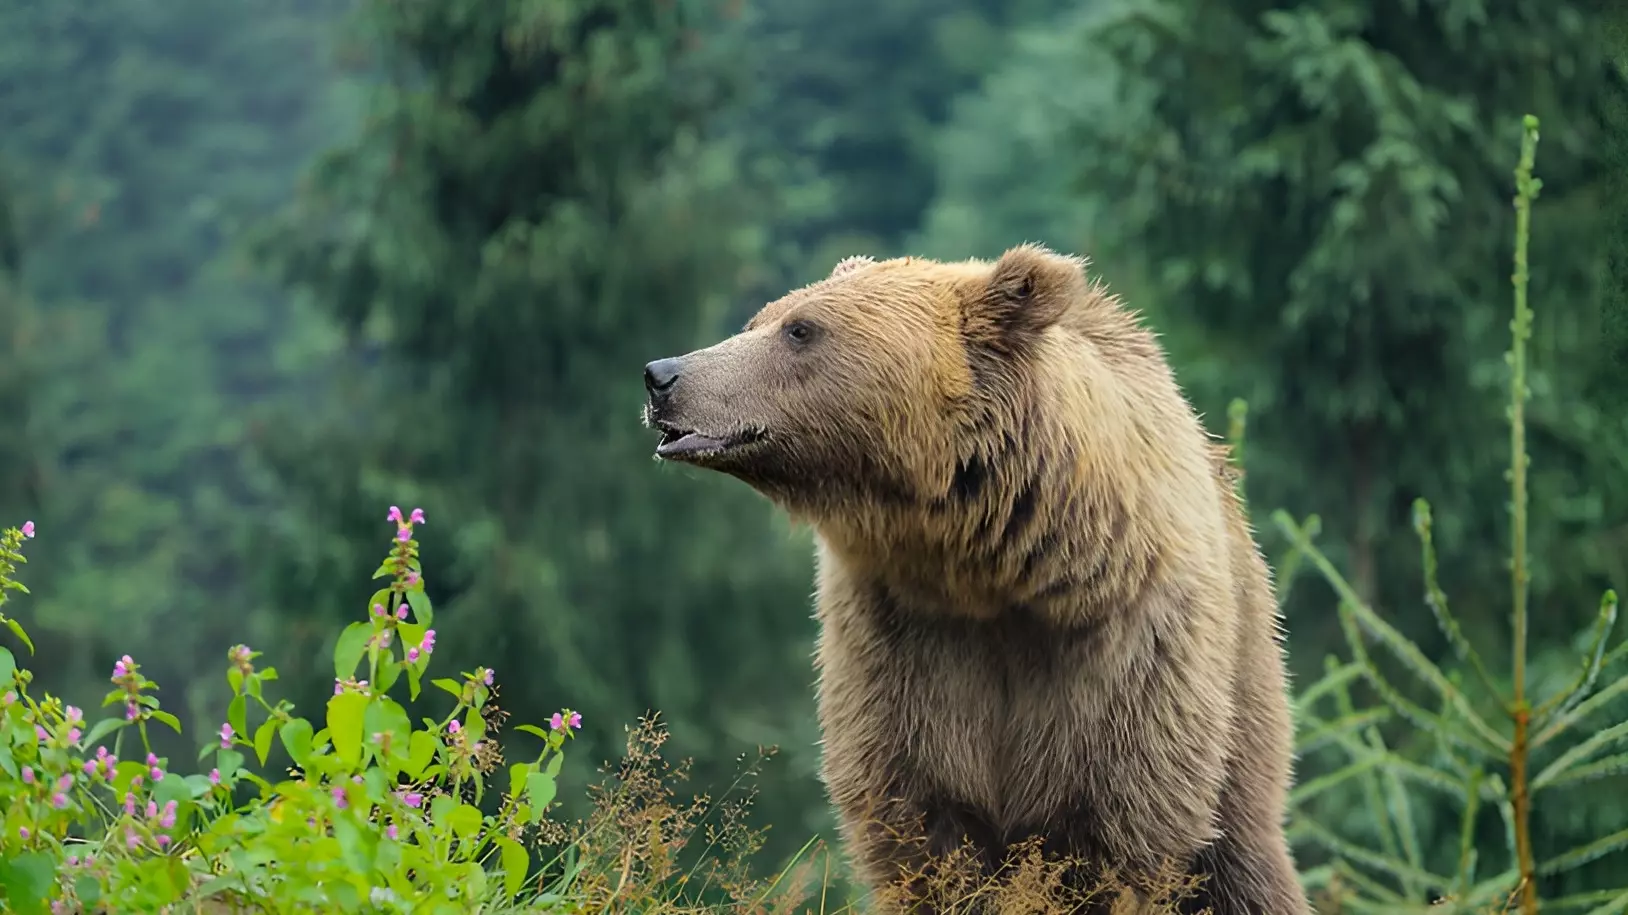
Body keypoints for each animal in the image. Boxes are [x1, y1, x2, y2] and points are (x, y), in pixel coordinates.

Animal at [638, 242, 1308, 911]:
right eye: (760, 319)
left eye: (801, 329)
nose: (662, 375)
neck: (987, 567)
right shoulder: (902, 649)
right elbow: (921, 825)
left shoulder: (1125, 659)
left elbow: (1112, 829)